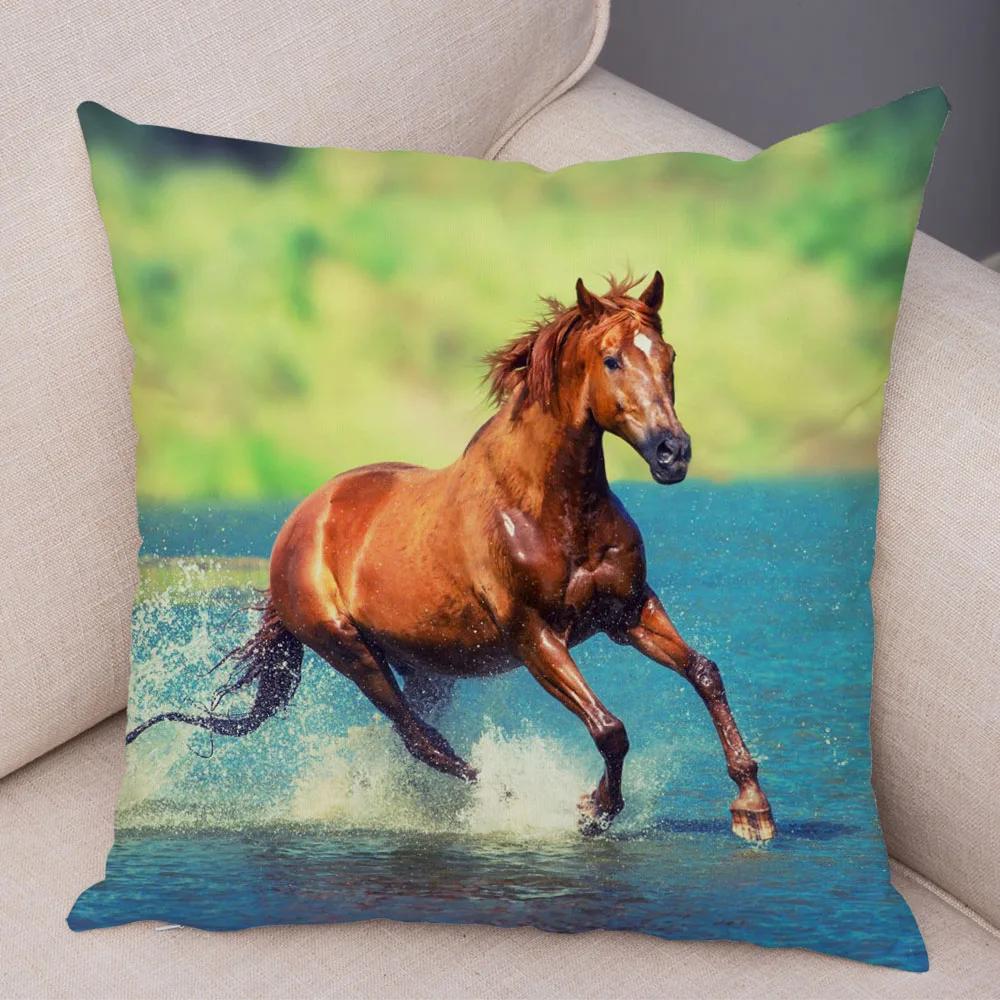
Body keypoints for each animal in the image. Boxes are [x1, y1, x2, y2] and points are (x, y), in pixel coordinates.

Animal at [127, 272, 776, 841]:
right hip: (349, 650)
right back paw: (505, 796)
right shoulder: (534, 634)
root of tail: (297, 527)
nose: (673, 453)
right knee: (421, 739)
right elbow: (610, 728)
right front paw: (593, 808)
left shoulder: (628, 610)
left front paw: (752, 809)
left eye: (669, 355)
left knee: (416, 735)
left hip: (425, 664)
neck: (550, 507)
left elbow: (705, 672)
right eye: (612, 359)